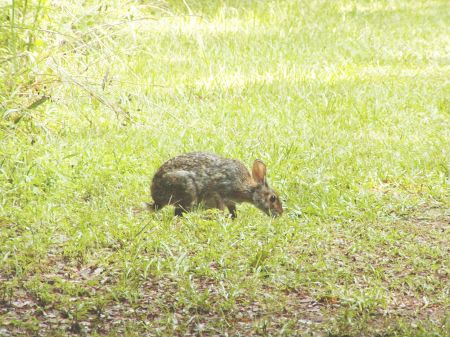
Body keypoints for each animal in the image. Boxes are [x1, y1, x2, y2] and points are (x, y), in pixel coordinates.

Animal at [148, 152, 284, 218]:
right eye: (273, 198)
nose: (280, 213)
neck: (248, 188)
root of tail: (156, 196)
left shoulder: (230, 201)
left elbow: (233, 210)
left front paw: (234, 218)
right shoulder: (219, 193)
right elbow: (220, 207)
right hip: (186, 188)